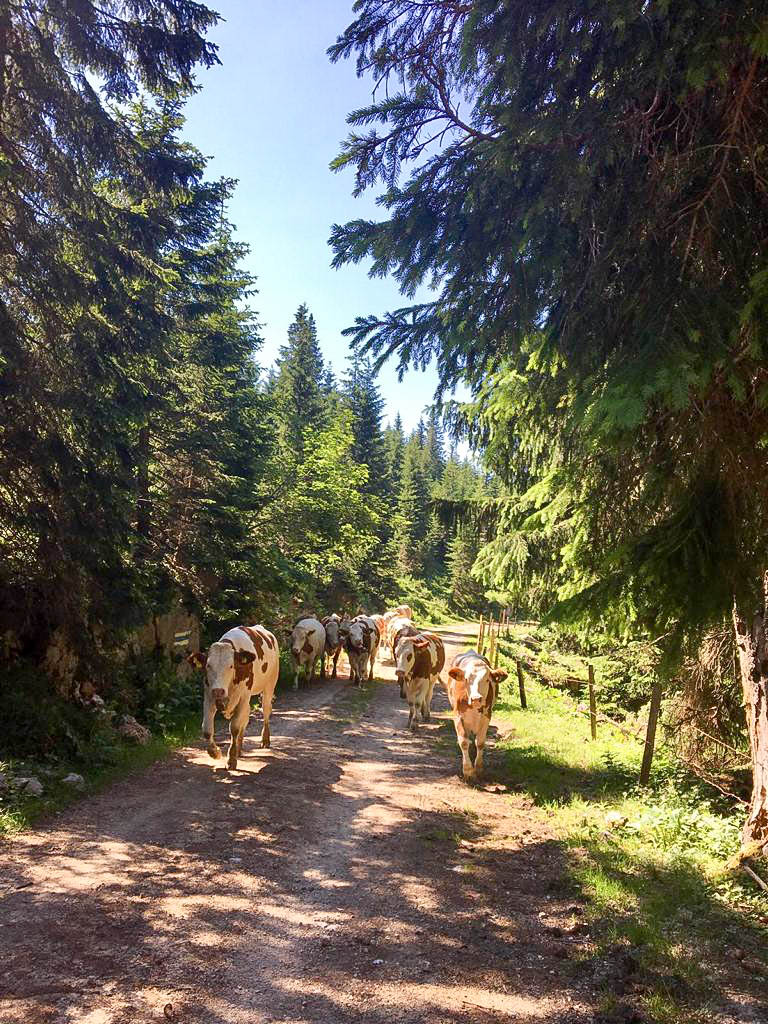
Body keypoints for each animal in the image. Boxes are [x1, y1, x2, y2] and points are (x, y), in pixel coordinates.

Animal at [187, 624, 279, 770]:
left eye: (231, 666)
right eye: (208, 665)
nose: (218, 691)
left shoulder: (243, 697)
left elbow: (234, 727)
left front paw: (231, 760)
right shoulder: (209, 696)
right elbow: (206, 729)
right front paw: (215, 753)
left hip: (269, 686)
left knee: (266, 711)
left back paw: (265, 739)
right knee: (246, 716)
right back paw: (239, 748)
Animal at [445, 650, 508, 780]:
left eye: (487, 679)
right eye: (466, 679)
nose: (476, 698)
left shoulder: (486, 716)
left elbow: (480, 742)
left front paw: (478, 768)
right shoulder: (457, 716)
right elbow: (463, 741)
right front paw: (468, 771)